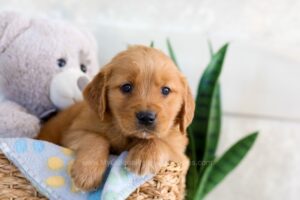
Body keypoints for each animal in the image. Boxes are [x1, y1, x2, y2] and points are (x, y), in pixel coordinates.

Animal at [37, 45, 196, 191]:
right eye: (126, 87)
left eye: (166, 90)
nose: (146, 117)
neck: (126, 136)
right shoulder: (73, 133)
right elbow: (96, 138)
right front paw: (87, 173)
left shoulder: (182, 157)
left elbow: (161, 141)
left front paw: (144, 155)